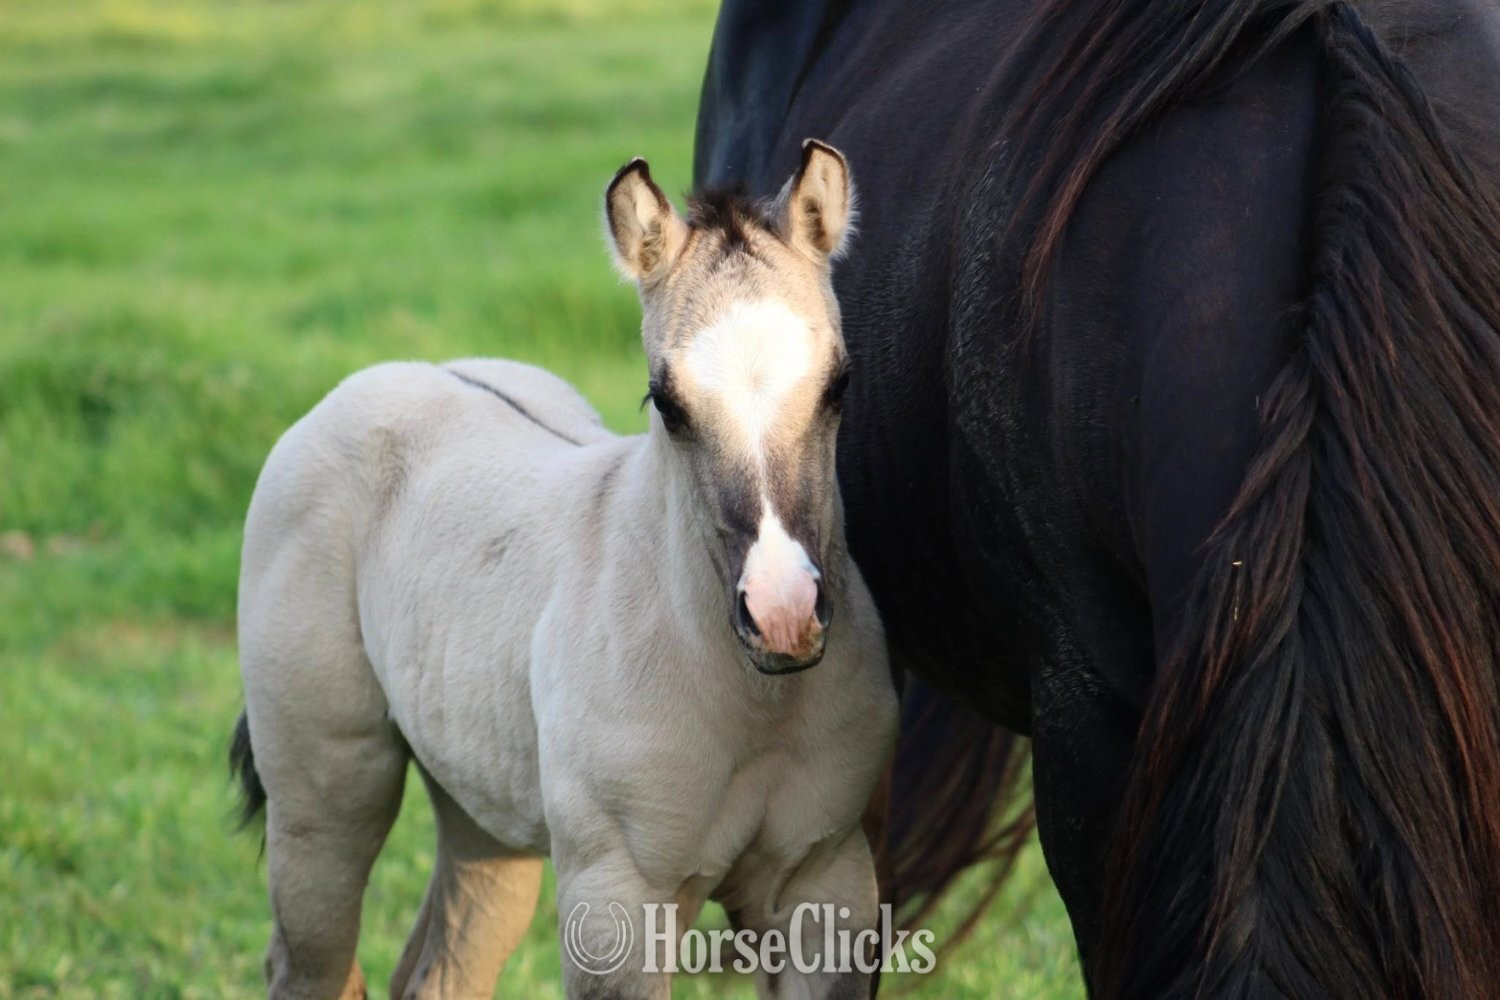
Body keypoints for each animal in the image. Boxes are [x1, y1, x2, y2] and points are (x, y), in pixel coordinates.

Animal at [229, 144, 898, 1000]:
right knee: (314, 957)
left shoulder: (825, 883)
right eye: (666, 402)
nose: (781, 612)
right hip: (326, 801)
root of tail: (385, 376)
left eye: (838, 383)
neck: (750, 703)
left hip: (481, 814)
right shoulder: (616, 900)